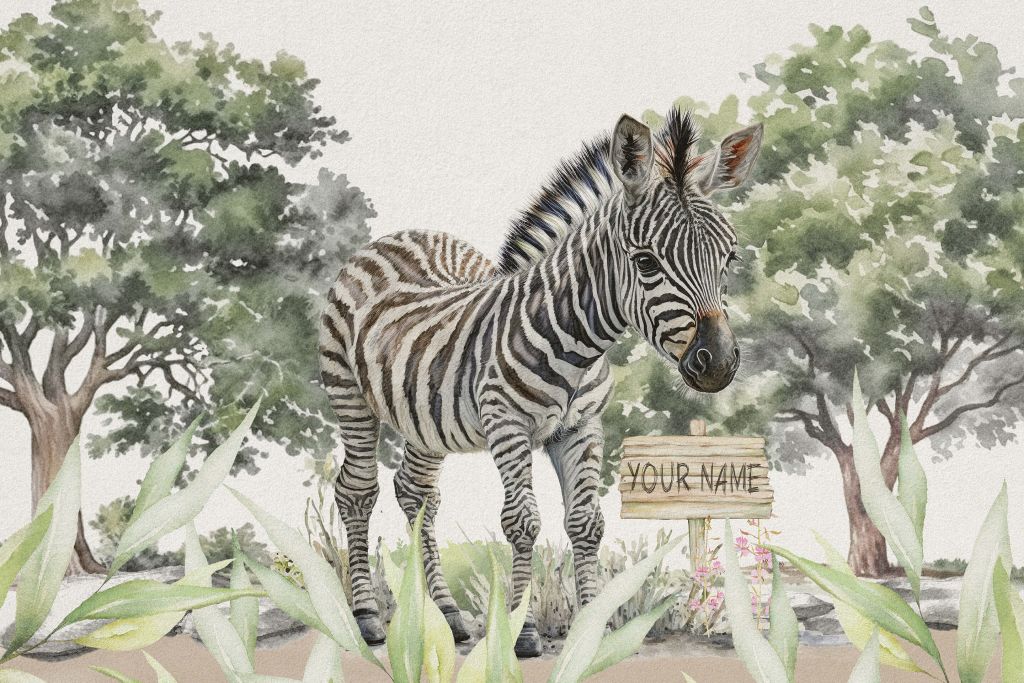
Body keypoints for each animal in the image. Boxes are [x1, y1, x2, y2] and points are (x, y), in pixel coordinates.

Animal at [318, 107, 763, 657]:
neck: (578, 343)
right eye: (646, 262)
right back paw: (366, 619)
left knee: (416, 493)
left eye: (729, 258)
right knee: (356, 491)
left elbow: (586, 522)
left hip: (425, 418)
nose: (718, 363)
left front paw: (592, 628)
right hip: (350, 397)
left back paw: (445, 615)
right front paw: (522, 633)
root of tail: (397, 235)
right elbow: (522, 521)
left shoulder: (582, 427)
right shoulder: (507, 424)